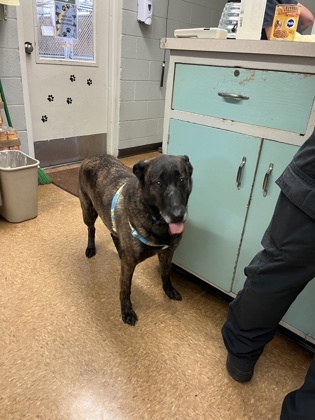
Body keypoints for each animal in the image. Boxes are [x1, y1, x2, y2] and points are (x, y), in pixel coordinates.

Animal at [78, 154, 194, 324]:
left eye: (182, 179)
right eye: (158, 183)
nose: (178, 215)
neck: (155, 219)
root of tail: (93, 156)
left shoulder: (167, 253)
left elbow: (166, 273)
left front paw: (169, 290)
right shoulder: (129, 265)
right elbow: (125, 288)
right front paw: (126, 311)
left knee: (114, 234)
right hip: (88, 211)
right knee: (91, 229)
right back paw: (91, 248)